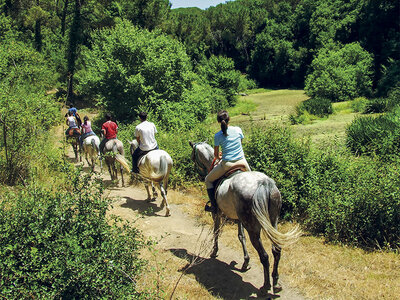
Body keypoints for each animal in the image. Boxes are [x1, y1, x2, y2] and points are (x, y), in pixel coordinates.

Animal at [190, 142, 300, 296]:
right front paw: (245, 262)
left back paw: (266, 285)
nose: (199, 174)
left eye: (193, 156)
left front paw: (214, 251)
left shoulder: (218, 214)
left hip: (253, 228)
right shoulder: (240, 219)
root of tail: (264, 183)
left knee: (264, 256)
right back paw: (276, 283)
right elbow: (241, 236)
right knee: (276, 250)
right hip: (273, 222)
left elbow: (216, 232)